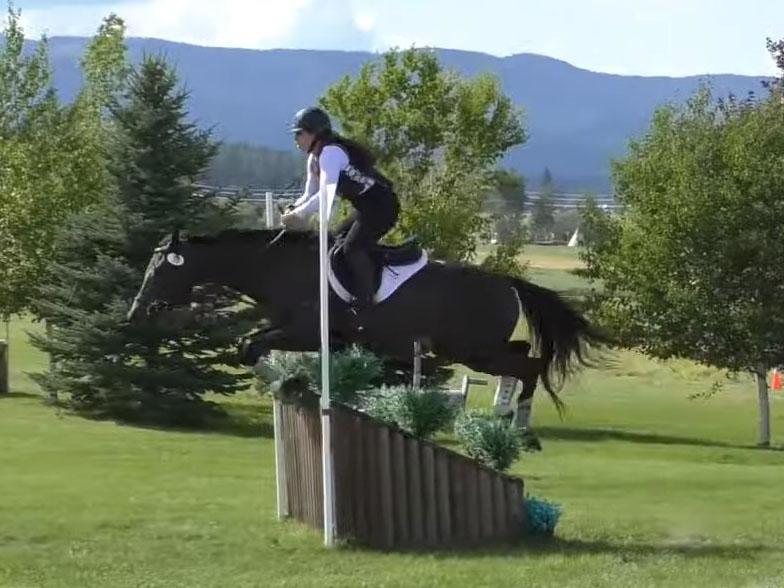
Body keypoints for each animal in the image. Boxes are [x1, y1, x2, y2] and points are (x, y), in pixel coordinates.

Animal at [125, 230, 600, 428]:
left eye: (159, 270)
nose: (137, 313)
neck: (277, 266)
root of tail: (507, 283)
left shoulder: (304, 332)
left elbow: (249, 348)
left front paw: (287, 383)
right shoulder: (290, 329)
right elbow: (248, 345)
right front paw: (289, 383)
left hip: (471, 349)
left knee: (530, 365)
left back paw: (517, 423)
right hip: (479, 348)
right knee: (521, 358)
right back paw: (505, 416)